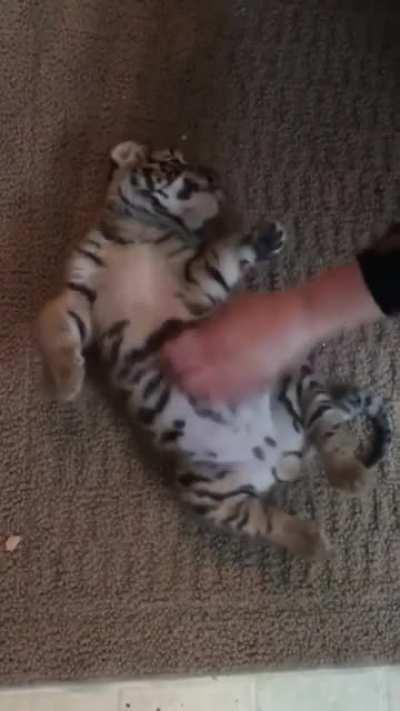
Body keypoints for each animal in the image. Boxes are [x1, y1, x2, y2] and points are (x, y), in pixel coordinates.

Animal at [36, 140, 391, 558]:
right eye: (175, 160)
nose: (214, 175)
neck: (138, 228)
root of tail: (279, 454)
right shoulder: (77, 292)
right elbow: (56, 329)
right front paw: (67, 382)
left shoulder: (194, 280)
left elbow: (223, 253)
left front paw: (264, 238)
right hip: (208, 492)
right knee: (266, 520)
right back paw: (315, 544)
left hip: (294, 382)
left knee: (331, 433)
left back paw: (351, 477)